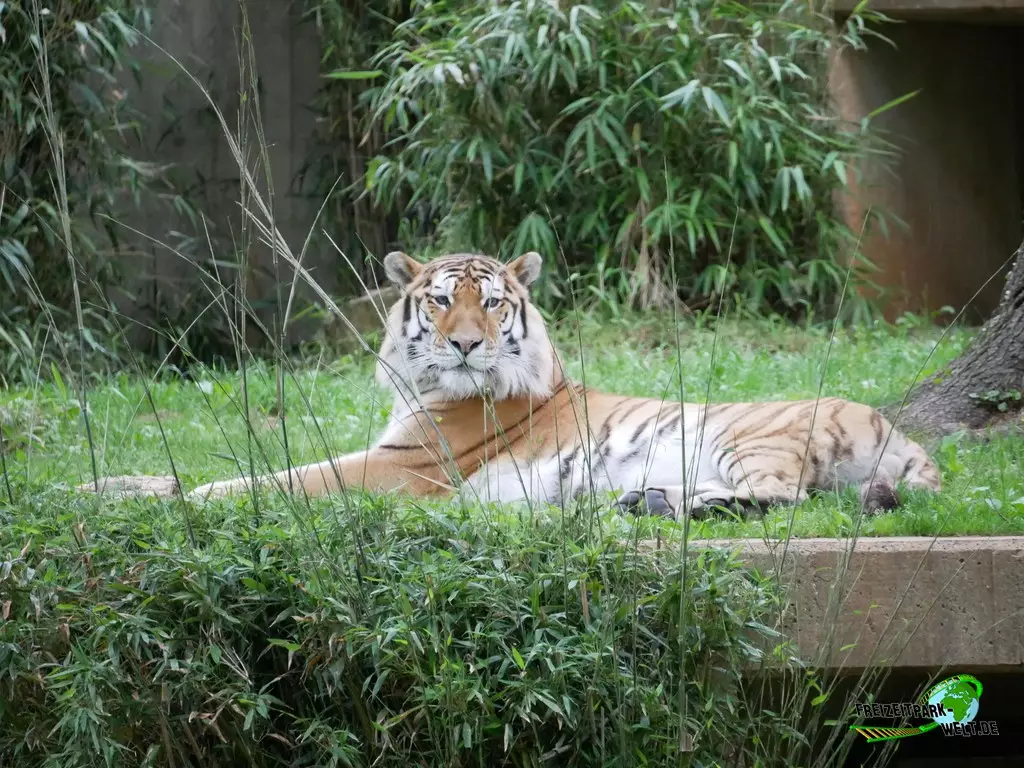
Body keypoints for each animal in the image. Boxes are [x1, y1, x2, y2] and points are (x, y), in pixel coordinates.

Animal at [180, 249, 941, 519]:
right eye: (440, 300)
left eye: (491, 303)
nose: (465, 344)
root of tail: (900, 432)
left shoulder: (403, 466)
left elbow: (280, 479)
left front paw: (183, 495)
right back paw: (644, 500)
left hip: (746, 436)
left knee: (785, 496)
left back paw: (662, 506)